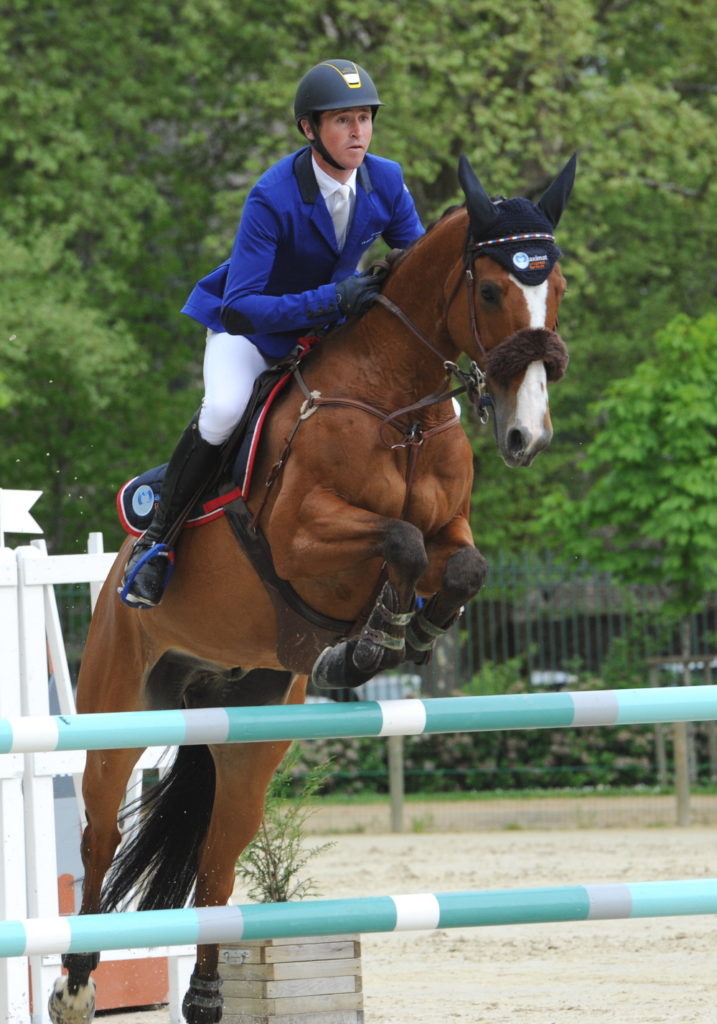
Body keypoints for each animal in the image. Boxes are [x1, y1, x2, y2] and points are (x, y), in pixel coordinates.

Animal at [48, 153, 577, 1024]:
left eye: (556, 284)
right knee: (98, 839)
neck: (397, 404)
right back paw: (75, 984)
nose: (524, 436)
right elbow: (395, 541)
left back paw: (206, 998)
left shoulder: (451, 531)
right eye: (492, 292)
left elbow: (458, 564)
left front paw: (396, 637)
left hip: (250, 728)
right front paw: (367, 645)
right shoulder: (300, 539)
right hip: (119, 704)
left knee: (218, 860)